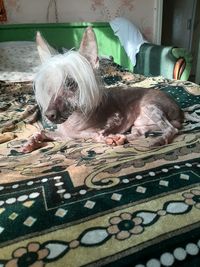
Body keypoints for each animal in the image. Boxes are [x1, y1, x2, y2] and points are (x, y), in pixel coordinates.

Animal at [21, 27, 183, 154]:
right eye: (49, 87)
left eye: (71, 83)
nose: (49, 115)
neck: (74, 121)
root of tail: (180, 112)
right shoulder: (64, 136)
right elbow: (42, 131)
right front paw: (31, 142)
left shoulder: (116, 118)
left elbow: (96, 134)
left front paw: (106, 137)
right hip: (139, 125)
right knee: (140, 134)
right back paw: (124, 138)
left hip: (150, 107)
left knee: (171, 130)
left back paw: (157, 140)